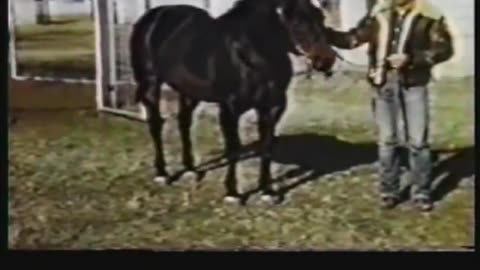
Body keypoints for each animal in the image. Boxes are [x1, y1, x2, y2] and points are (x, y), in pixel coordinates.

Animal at [129, 0, 336, 204]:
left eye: (321, 17)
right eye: (297, 22)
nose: (326, 60)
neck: (251, 55)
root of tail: (153, 15)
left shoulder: (272, 107)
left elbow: (267, 147)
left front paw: (267, 192)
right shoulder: (230, 109)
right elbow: (233, 150)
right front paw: (232, 194)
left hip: (188, 91)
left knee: (184, 123)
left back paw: (190, 170)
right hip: (150, 82)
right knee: (156, 124)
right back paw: (162, 174)